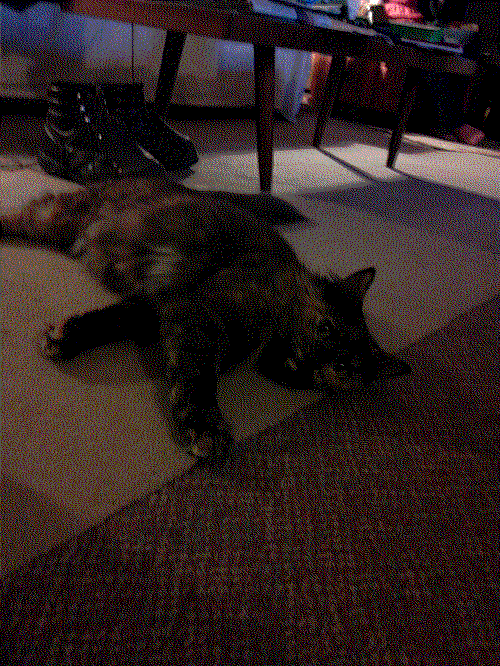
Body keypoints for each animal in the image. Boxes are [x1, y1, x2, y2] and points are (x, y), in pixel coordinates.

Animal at [1, 177, 411, 463]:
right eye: (325, 328)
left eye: (343, 367)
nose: (309, 360)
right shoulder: (199, 314)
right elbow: (198, 376)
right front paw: (205, 426)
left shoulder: (162, 306)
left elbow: (113, 320)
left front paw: (67, 336)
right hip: (53, 219)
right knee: (13, 216)